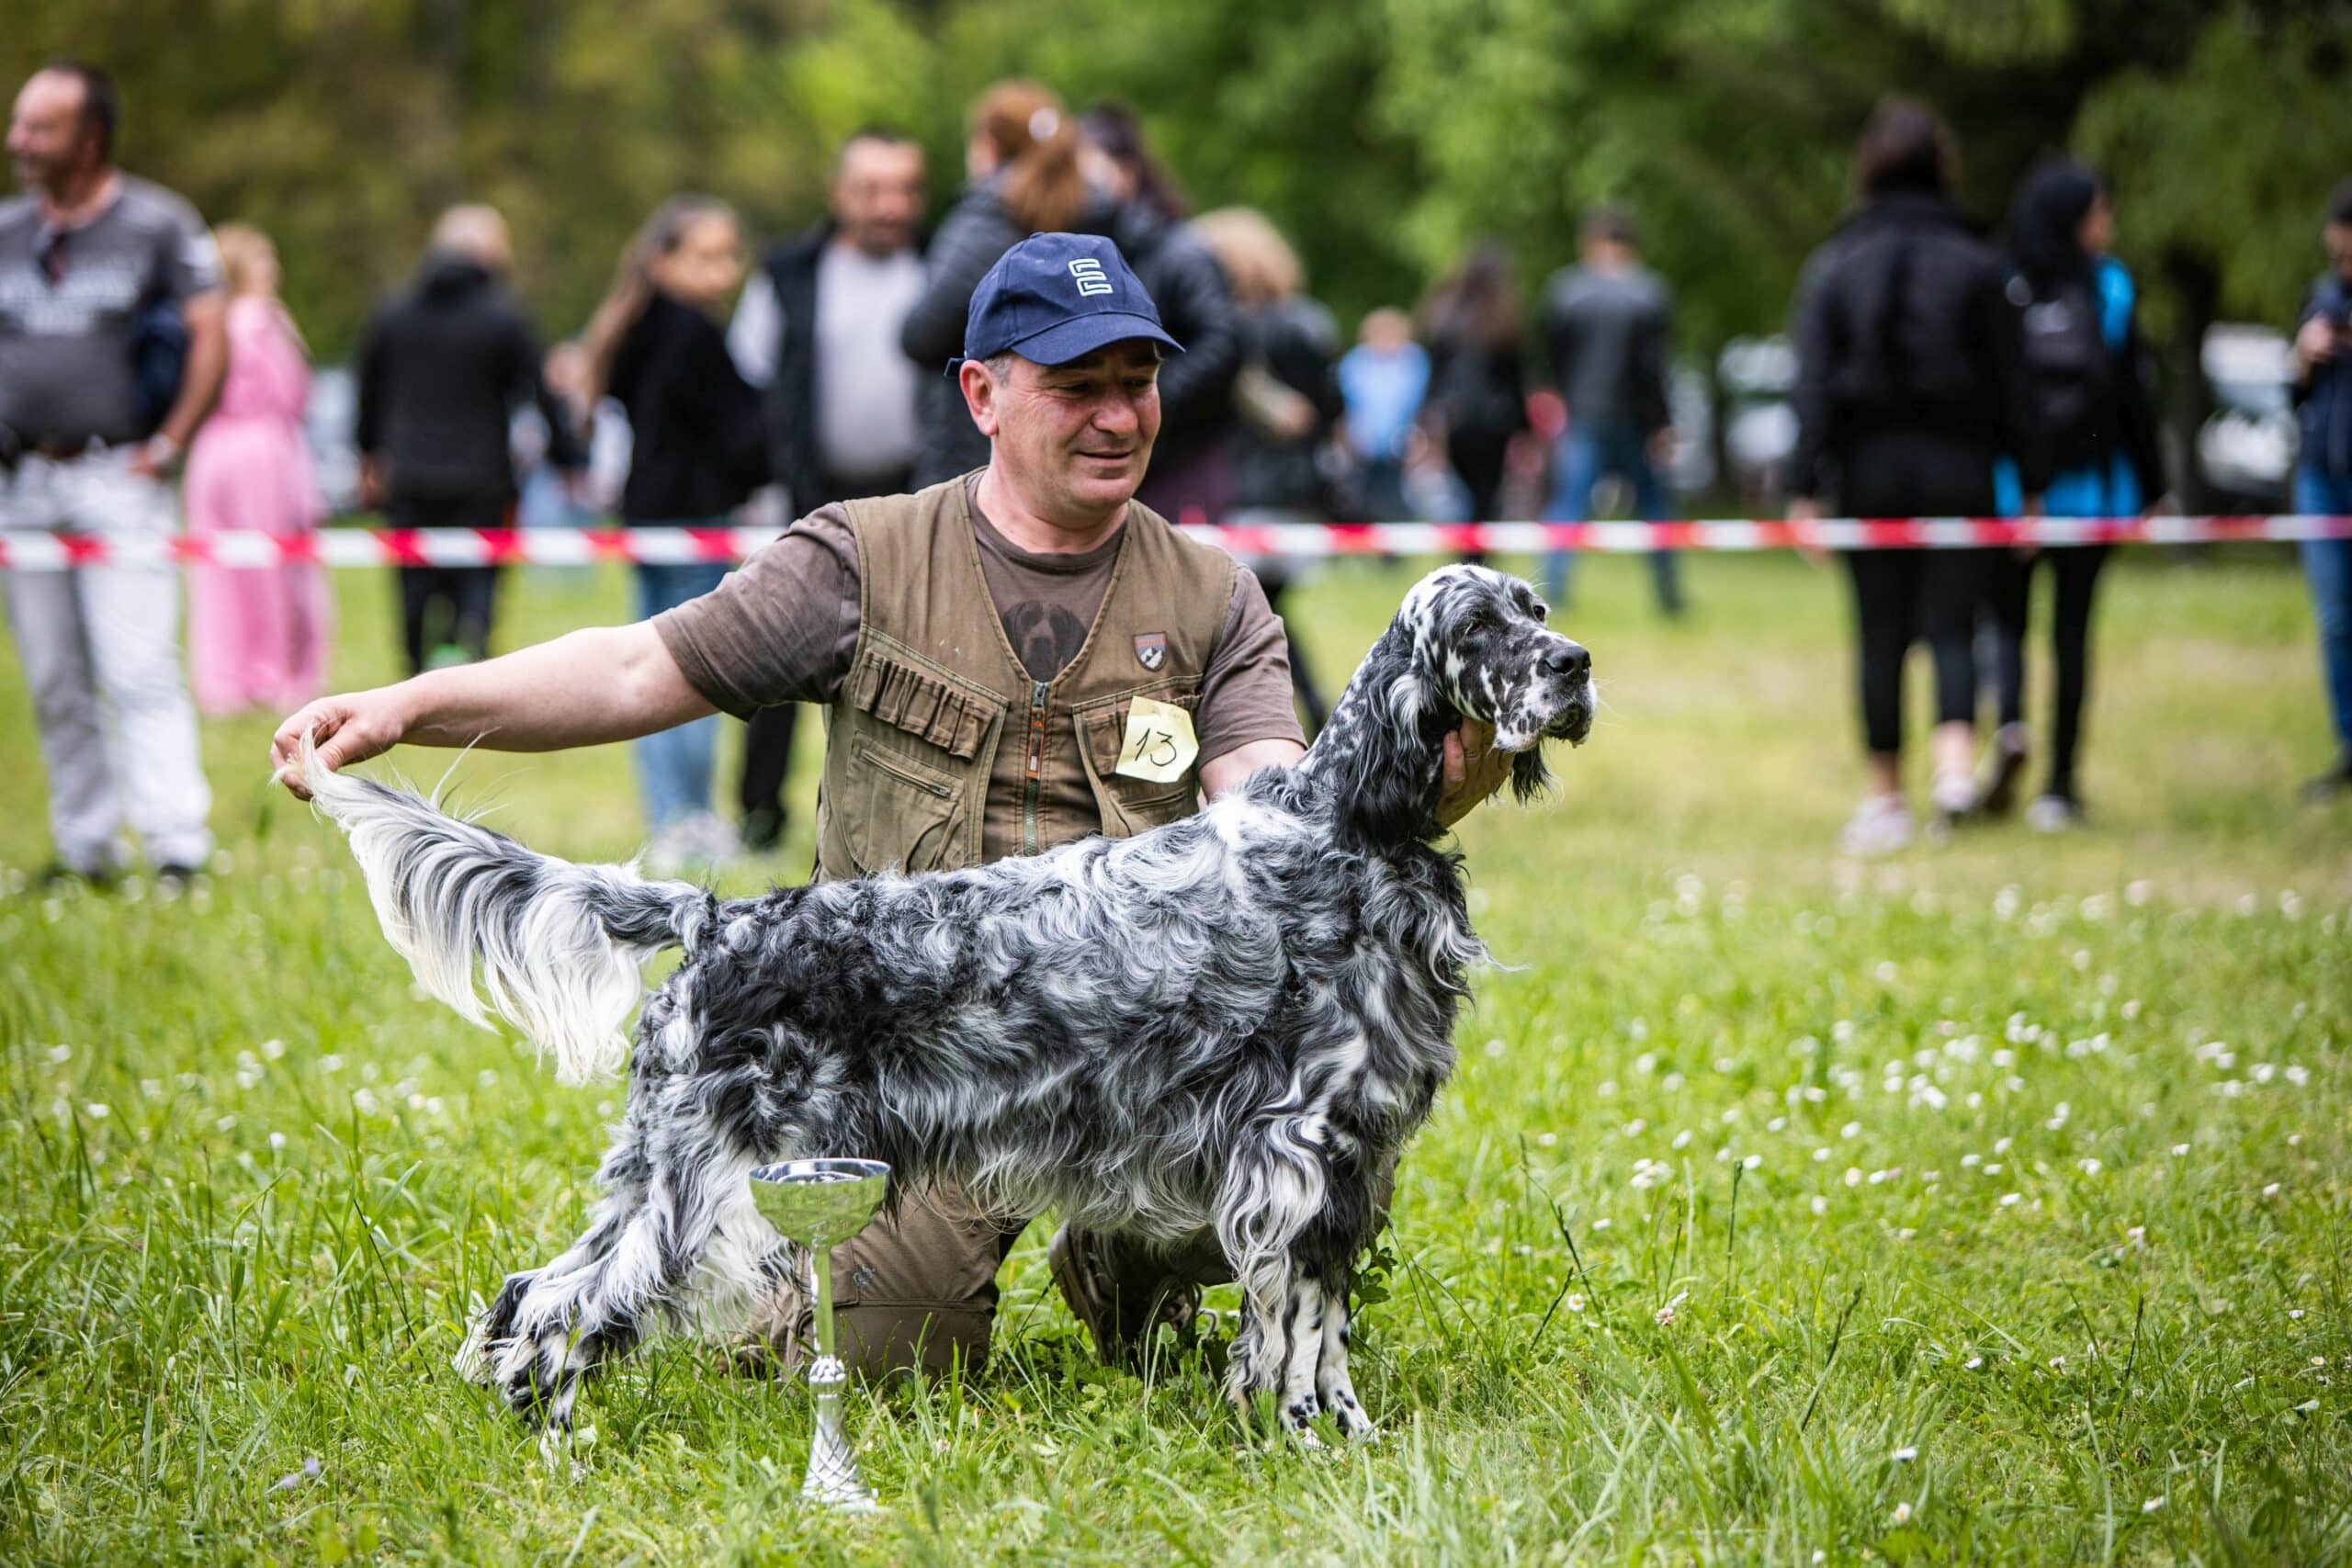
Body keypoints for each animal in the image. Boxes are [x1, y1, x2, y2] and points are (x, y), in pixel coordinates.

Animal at [308, 564, 1599, 1448]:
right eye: (1480, 629)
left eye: (1535, 605)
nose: (1576, 664)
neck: (1353, 828)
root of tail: (719, 917)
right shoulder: (1295, 1152)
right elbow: (1291, 1337)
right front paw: (1301, 1442)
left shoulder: (1352, 1162)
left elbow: (1322, 1333)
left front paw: (1350, 1439)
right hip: (707, 1195)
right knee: (569, 1308)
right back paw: (563, 1449)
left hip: (660, 1172)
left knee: (532, 1292)